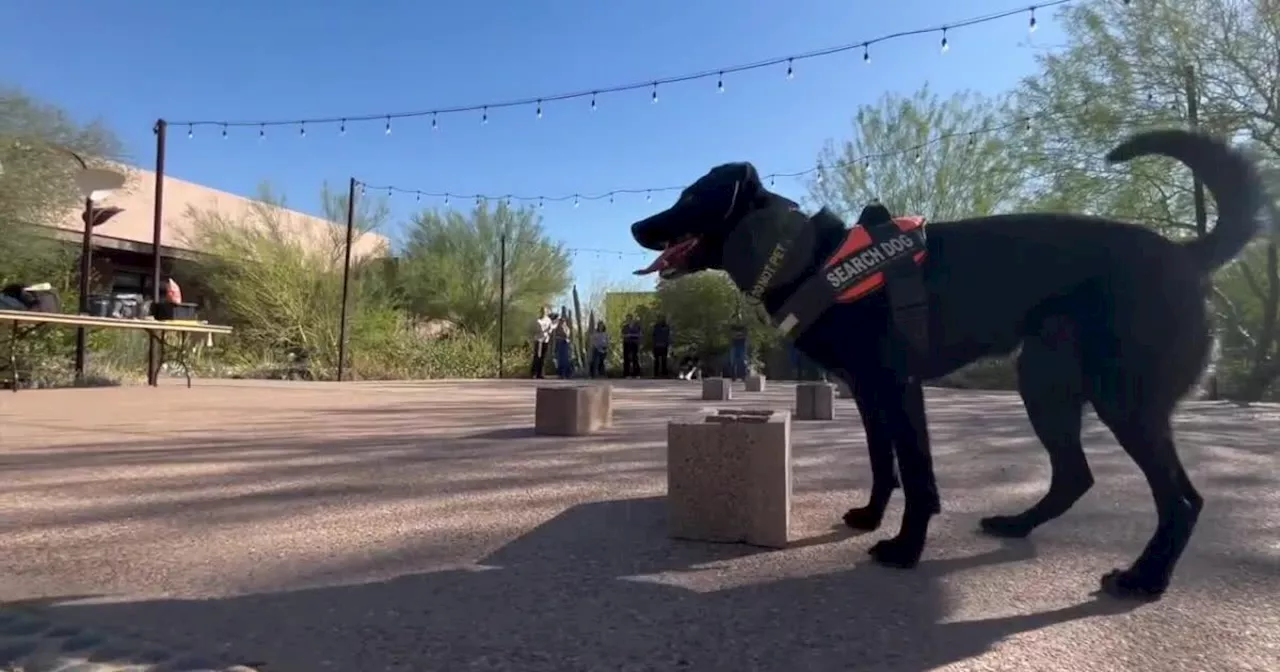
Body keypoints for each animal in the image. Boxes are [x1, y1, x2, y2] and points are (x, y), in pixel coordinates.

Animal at [629, 129, 1269, 596]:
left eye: (691, 197)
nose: (636, 224)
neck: (807, 257)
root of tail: (1188, 255)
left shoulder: (897, 385)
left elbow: (917, 475)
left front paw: (906, 549)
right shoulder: (868, 392)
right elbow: (883, 465)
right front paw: (871, 516)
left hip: (1123, 398)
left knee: (1181, 499)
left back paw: (1145, 578)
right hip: (1046, 384)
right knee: (1075, 475)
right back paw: (1018, 526)